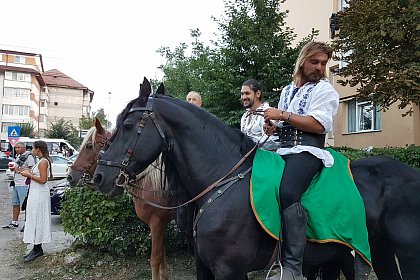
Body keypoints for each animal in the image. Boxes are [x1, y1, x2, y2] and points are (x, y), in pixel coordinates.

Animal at [68, 118, 173, 280]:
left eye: (89, 146)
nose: (70, 177)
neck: (151, 182)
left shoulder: (157, 223)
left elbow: (155, 260)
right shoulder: (161, 225)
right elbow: (162, 257)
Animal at [95, 77, 420, 278]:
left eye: (126, 125)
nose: (99, 176)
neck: (221, 179)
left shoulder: (230, 270)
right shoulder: (208, 266)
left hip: (406, 252)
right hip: (373, 249)